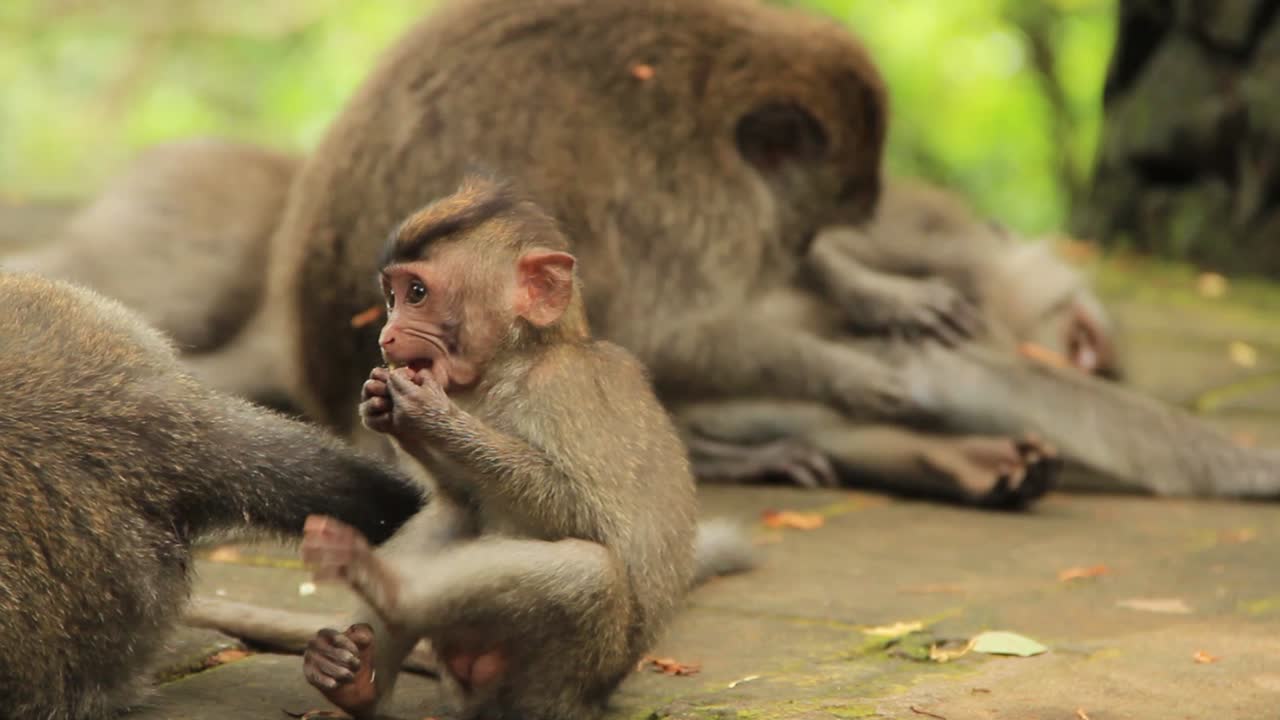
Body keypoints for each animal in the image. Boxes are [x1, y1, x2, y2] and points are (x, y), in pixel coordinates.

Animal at [294, 176, 751, 720]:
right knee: (452, 514)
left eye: (417, 294)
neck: (515, 363)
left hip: (562, 676)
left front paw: (429, 416)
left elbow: (579, 513)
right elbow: (461, 496)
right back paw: (356, 683)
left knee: (589, 575)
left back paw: (393, 590)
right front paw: (385, 409)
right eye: (391, 296)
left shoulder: (563, 389)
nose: (386, 334)